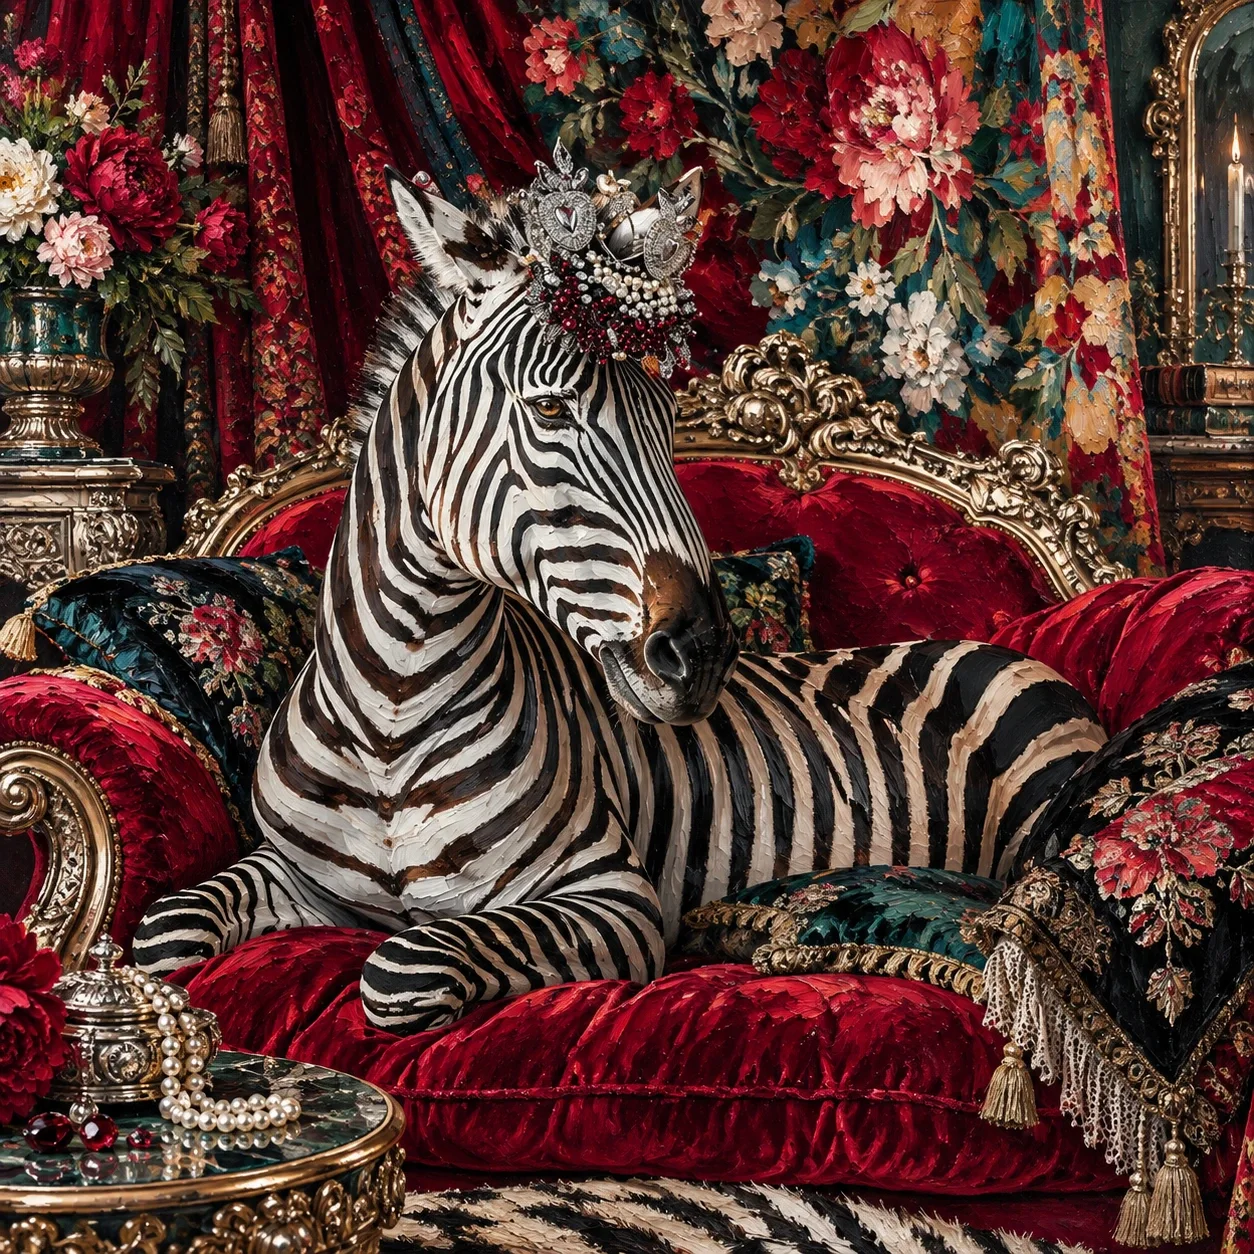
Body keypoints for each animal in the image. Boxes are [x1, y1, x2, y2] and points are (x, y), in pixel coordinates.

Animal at [132, 154, 1106, 1033]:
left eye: (668, 424)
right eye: (550, 411)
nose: (701, 649)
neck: (390, 712)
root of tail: (984, 644)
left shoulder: (615, 898)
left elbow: (405, 966)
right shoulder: (296, 875)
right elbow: (162, 933)